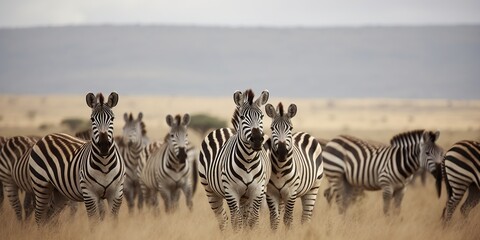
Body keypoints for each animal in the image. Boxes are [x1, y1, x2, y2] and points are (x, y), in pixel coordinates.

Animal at [27, 92, 125, 225]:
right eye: (92, 119)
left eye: (112, 119)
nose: (104, 146)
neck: (105, 164)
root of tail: (47, 136)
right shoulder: (89, 194)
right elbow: (94, 223)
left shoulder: (117, 193)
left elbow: (114, 223)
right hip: (41, 184)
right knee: (39, 216)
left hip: (60, 191)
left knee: (50, 215)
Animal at [196, 89, 270, 231]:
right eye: (242, 117)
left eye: (262, 116)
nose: (257, 139)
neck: (248, 161)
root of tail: (226, 129)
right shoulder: (231, 191)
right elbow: (237, 222)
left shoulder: (258, 190)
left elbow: (253, 220)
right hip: (210, 190)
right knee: (222, 218)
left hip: (245, 197)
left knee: (244, 217)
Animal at [264, 102, 324, 230]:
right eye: (272, 128)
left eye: (290, 128)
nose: (282, 153)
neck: (280, 169)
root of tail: (305, 134)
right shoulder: (271, 192)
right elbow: (274, 220)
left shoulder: (291, 192)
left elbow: (288, 219)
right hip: (282, 196)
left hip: (313, 188)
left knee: (306, 217)